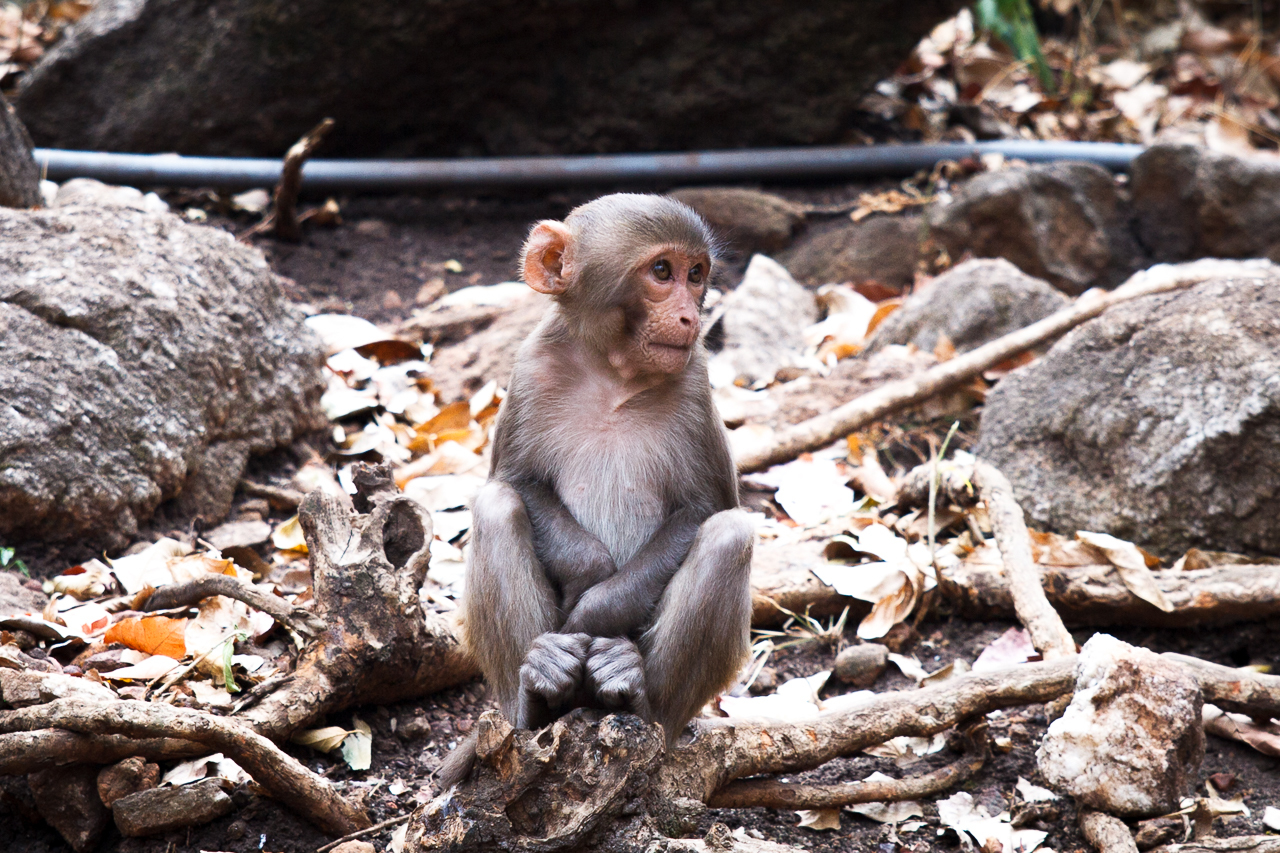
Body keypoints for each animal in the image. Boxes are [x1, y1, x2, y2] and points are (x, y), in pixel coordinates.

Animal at [445, 194, 752, 783]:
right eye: (663, 271)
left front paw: (596, 611)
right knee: (496, 506)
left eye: (696, 274)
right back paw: (536, 697)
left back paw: (637, 698)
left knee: (731, 537)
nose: (691, 315)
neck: (614, 374)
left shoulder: (695, 385)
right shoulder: (532, 369)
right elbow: (516, 481)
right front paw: (586, 576)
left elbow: (706, 508)